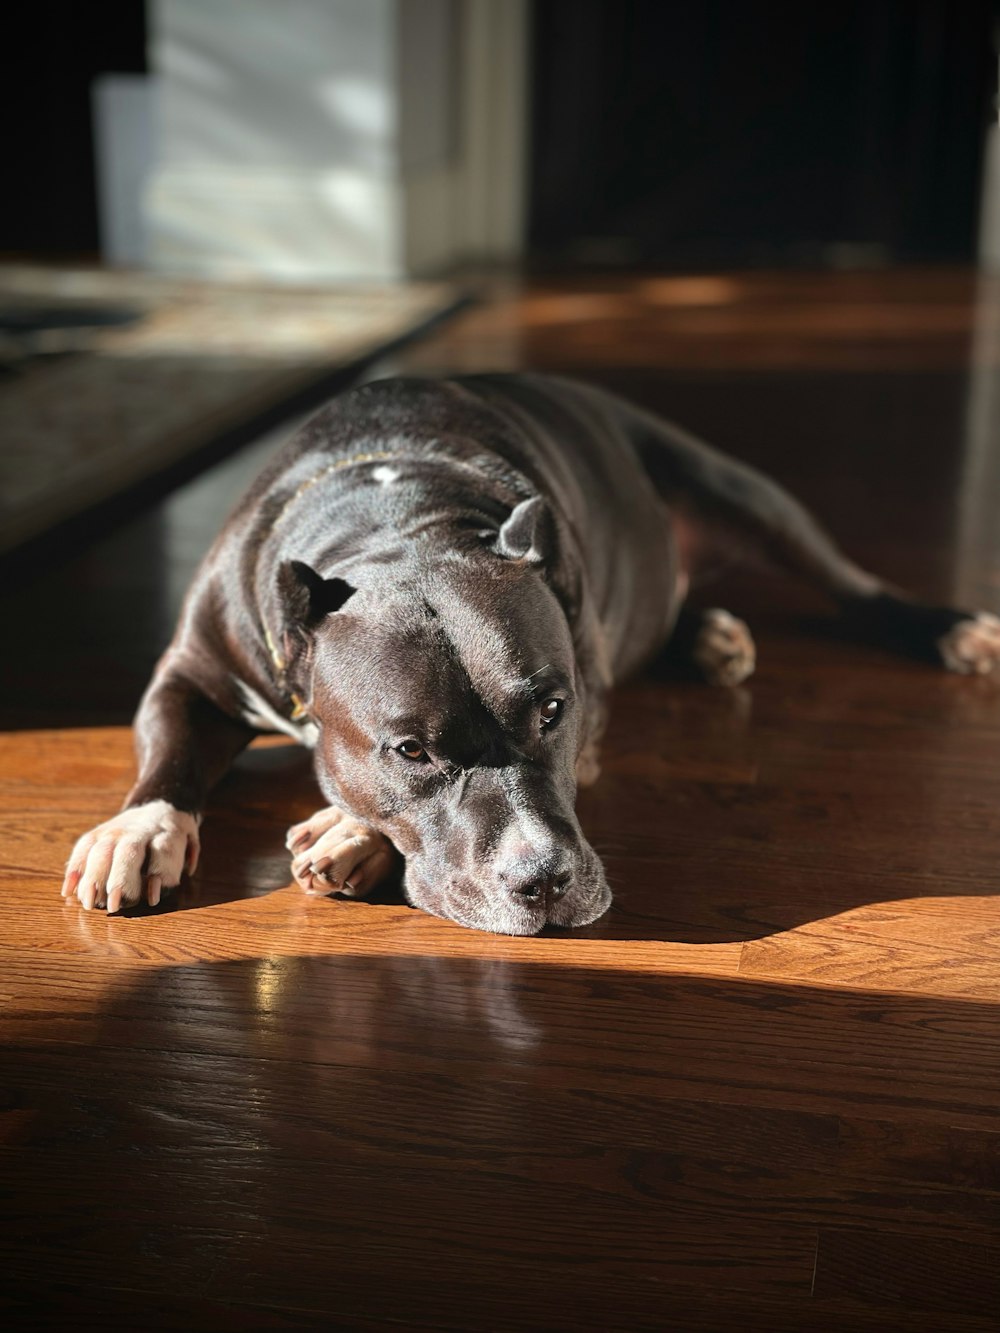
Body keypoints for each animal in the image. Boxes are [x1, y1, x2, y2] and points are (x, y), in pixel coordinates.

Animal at [60, 373, 1000, 938]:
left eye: (552, 710)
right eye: (411, 750)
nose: (544, 882)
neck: (394, 520)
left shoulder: (590, 698)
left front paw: (349, 832)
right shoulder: (190, 668)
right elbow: (171, 750)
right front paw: (139, 829)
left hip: (742, 492)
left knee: (852, 584)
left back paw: (949, 627)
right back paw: (707, 634)